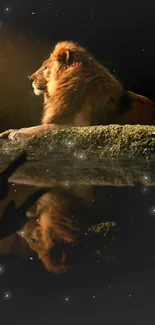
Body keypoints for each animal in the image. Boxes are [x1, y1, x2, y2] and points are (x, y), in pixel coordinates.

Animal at [0, 40, 155, 139]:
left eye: (45, 68)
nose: (30, 78)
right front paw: (9, 131)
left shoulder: (79, 125)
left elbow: (43, 127)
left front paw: (18, 133)